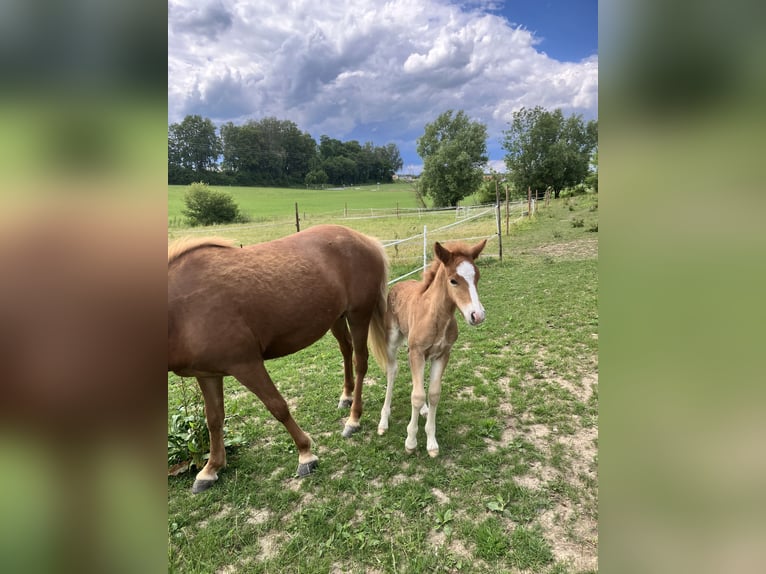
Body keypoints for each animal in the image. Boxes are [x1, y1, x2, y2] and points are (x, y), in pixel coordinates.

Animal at [168, 224, 389, 493]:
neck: (183, 310)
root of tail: (365, 239)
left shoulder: (247, 365)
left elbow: (278, 407)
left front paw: (306, 455)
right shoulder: (208, 374)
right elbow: (214, 419)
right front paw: (210, 469)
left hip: (359, 315)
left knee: (360, 362)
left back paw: (354, 419)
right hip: (337, 317)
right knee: (345, 350)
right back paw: (345, 396)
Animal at [374, 238, 487, 457]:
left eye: (477, 276)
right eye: (453, 280)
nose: (477, 316)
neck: (436, 317)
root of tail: (397, 285)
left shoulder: (442, 354)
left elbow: (433, 394)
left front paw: (432, 443)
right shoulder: (416, 352)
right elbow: (416, 396)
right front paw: (410, 442)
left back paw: (424, 411)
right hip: (393, 342)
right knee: (392, 372)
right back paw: (383, 421)